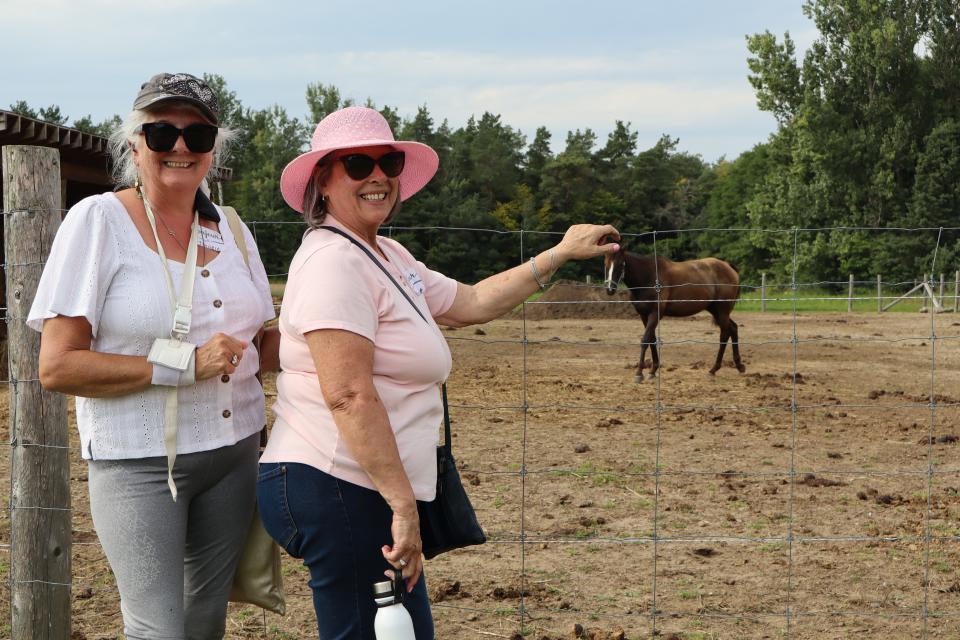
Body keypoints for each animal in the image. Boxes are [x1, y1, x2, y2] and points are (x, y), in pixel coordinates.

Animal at [604, 249, 748, 380]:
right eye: (606, 264)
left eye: (621, 264)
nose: (610, 289)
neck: (649, 277)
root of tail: (728, 266)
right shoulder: (644, 315)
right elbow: (652, 339)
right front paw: (653, 370)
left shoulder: (655, 314)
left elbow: (645, 340)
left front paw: (639, 373)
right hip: (716, 310)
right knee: (733, 328)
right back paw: (738, 365)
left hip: (722, 310)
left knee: (724, 335)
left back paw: (714, 369)